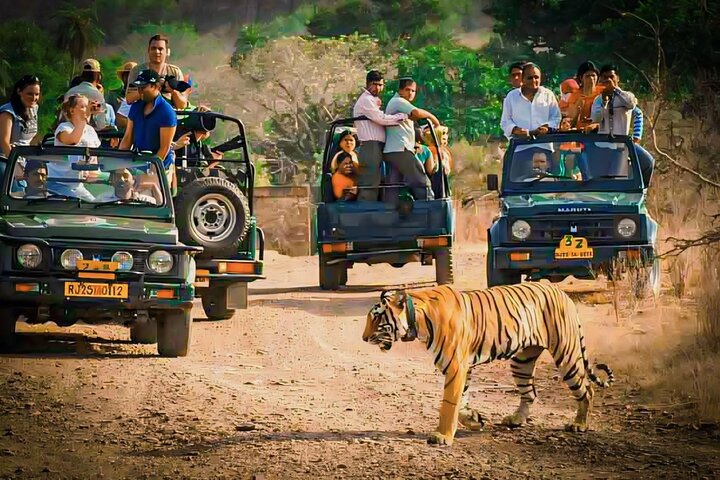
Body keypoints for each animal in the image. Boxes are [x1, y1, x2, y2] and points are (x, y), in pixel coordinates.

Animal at [362, 282, 613, 446]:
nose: (364, 338)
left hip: (566, 354)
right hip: (522, 361)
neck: (418, 320)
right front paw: (474, 420)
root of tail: (561, 292)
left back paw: (579, 424)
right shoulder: (462, 367)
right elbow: (461, 402)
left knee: (586, 390)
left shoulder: (456, 366)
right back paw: (515, 420)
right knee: (530, 393)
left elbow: (449, 404)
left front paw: (442, 436)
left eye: (377, 318)